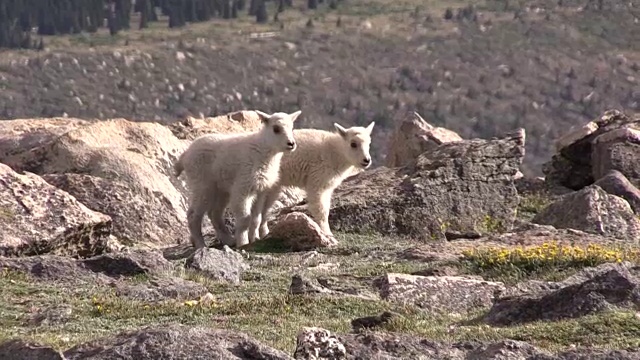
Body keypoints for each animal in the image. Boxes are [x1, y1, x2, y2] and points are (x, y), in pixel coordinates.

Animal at [172, 109, 302, 249]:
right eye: (276, 129)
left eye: (292, 127)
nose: (291, 144)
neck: (262, 151)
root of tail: (185, 156)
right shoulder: (243, 187)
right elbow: (245, 219)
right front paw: (243, 243)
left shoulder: (260, 190)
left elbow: (256, 218)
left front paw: (254, 239)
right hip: (201, 184)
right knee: (193, 215)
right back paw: (201, 245)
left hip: (220, 189)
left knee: (214, 213)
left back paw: (228, 240)